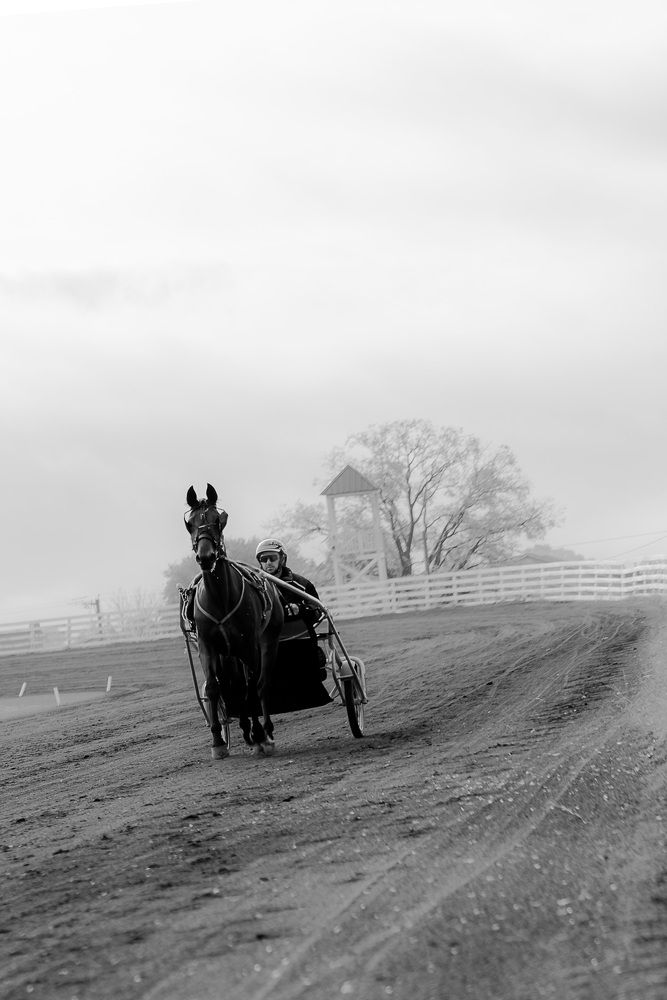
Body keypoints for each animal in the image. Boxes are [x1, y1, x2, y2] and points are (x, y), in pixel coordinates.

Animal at [183, 483, 284, 758]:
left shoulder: (249, 644)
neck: (220, 599)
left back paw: (265, 731)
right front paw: (218, 741)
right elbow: (213, 688)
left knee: (261, 684)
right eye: (190, 523)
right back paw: (246, 730)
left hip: (267, 642)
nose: (206, 557)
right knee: (235, 685)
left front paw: (260, 736)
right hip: (228, 654)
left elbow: (252, 686)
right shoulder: (208, 646)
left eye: (219, 520)